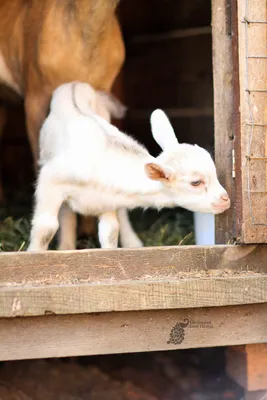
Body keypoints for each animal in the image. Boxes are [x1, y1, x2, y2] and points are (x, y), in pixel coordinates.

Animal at [28, 81, 231, 252]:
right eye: (196, 182)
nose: (225, 199)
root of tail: (75, 85)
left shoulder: (106, 200)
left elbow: (110, 231)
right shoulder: (50, 180)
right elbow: (46, 227)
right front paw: (34, 253)